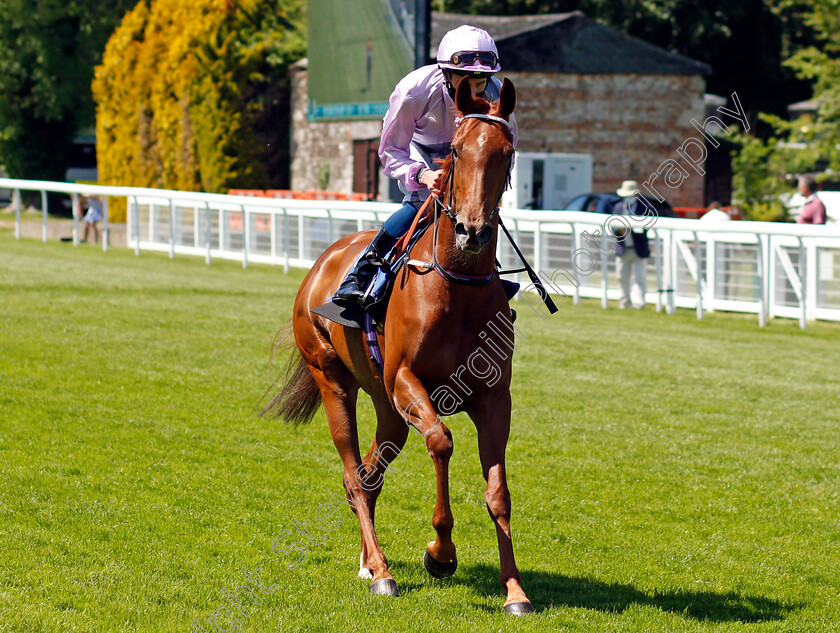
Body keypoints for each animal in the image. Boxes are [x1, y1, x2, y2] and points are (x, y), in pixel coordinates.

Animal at [262, 76, 528, 616]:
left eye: (507, 152)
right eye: (455, 149)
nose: (472, 231)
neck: (457, 286)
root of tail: (321, 262)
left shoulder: (494, 397)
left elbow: (498, 492)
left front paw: (515, 590)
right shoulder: (408, 379)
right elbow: (442, 441)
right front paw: (440, 553)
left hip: (386, 406)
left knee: (369, 474)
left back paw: (370, 562)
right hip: (334, 380)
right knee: (352, 471)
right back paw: (382, 572)